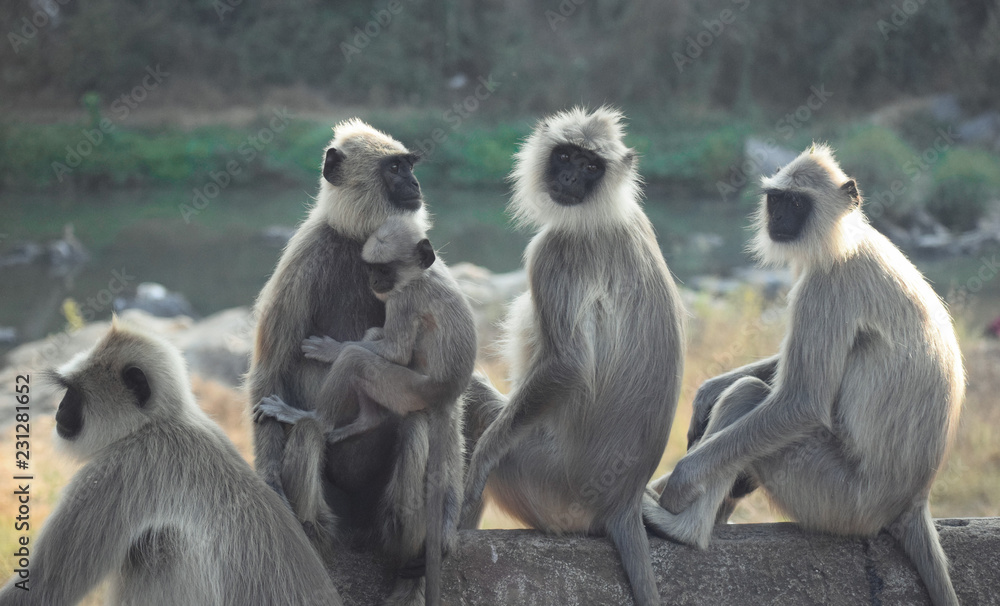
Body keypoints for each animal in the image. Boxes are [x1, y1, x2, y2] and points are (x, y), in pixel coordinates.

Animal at [254, 215, 477, 606]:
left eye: (383, 270)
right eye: (370, 269)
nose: (374, 283)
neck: (422, 275)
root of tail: (447, 394)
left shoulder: (404, 299)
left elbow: (393, 352)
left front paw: (330, 350)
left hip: (407, 388)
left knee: (356, 359)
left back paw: (311, 417)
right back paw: (353, 425)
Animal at [459, 106, 686, 606]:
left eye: (589, 166)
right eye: (565, 155)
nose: (567, 177)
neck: (605, 213)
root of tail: (622, 502)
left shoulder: (556, 251)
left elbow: (570, 364)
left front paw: (481, 458)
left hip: (544, 483)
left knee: (473, 404)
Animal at [647, 145, 964, 606]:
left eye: (797, 203)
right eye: (777, 200)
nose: (778, 218)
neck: (848, 237)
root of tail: (913, 502)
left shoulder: (827, 283)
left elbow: (801, 402)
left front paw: (681, 480)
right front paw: (707, 390)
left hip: (834, 495)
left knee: (749, 395)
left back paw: (683, 530)